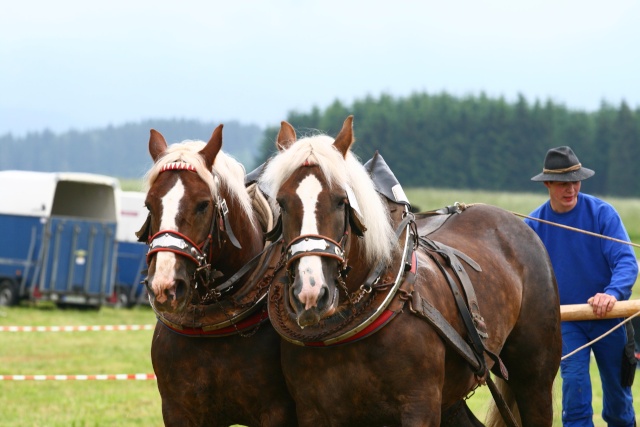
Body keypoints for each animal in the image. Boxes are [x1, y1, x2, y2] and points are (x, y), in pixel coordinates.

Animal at [258, 115, 564, 426]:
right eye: (281, 203)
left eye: (341, 201)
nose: (310, 293)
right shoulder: (313, 411)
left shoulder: (420, 406)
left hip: (535, 375)